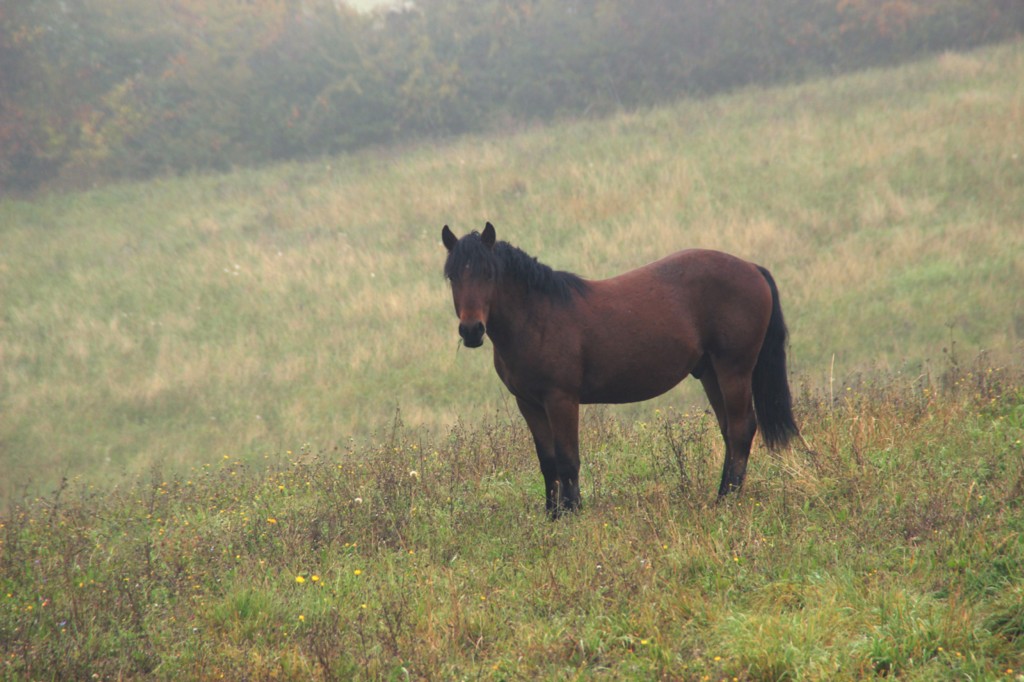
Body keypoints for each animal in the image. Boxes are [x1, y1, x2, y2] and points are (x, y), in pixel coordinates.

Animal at [441, 222, 799, 518]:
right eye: (452, 276)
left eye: (489, 274)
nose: (471, 331)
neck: (537, 317)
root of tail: (752, 268)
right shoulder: (528, 403)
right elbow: (548, 461)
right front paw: (552, 515)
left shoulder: (561, 400)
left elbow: (568, 459)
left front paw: (572, 513)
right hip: (710, 373)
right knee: (729, 431)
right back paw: (722, 494)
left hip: (733, 369)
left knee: (741, 428)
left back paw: (726, 500)